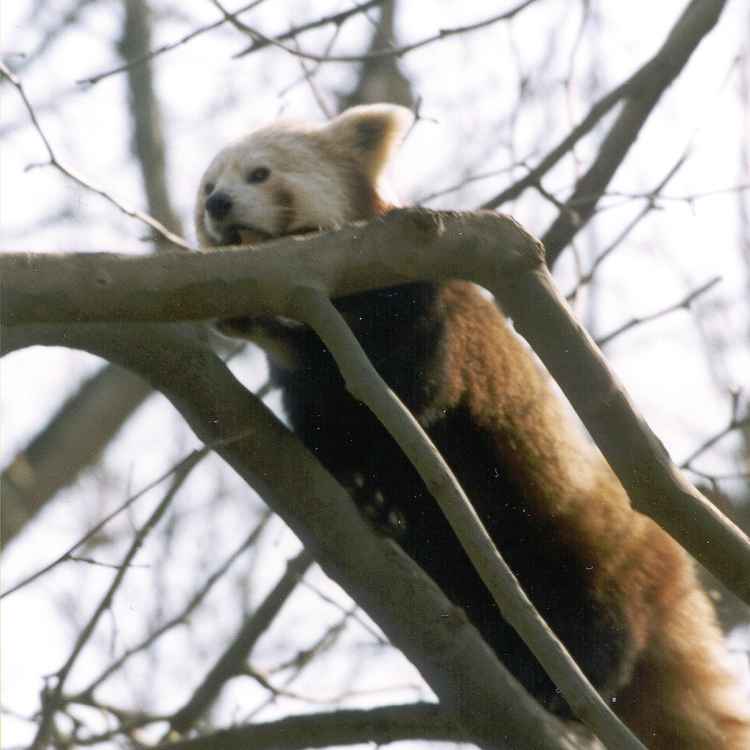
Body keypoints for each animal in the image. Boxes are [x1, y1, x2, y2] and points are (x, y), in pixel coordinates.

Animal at [195, 104, 750, 748]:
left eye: (259, 174)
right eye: (207, 186)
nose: (218, 205)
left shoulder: (424, 303)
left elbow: (411, 388)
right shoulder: (308, 389)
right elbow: (331, 432)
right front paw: (367, 492)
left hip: (595, 547)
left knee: (599, 615)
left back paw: (567, 682)